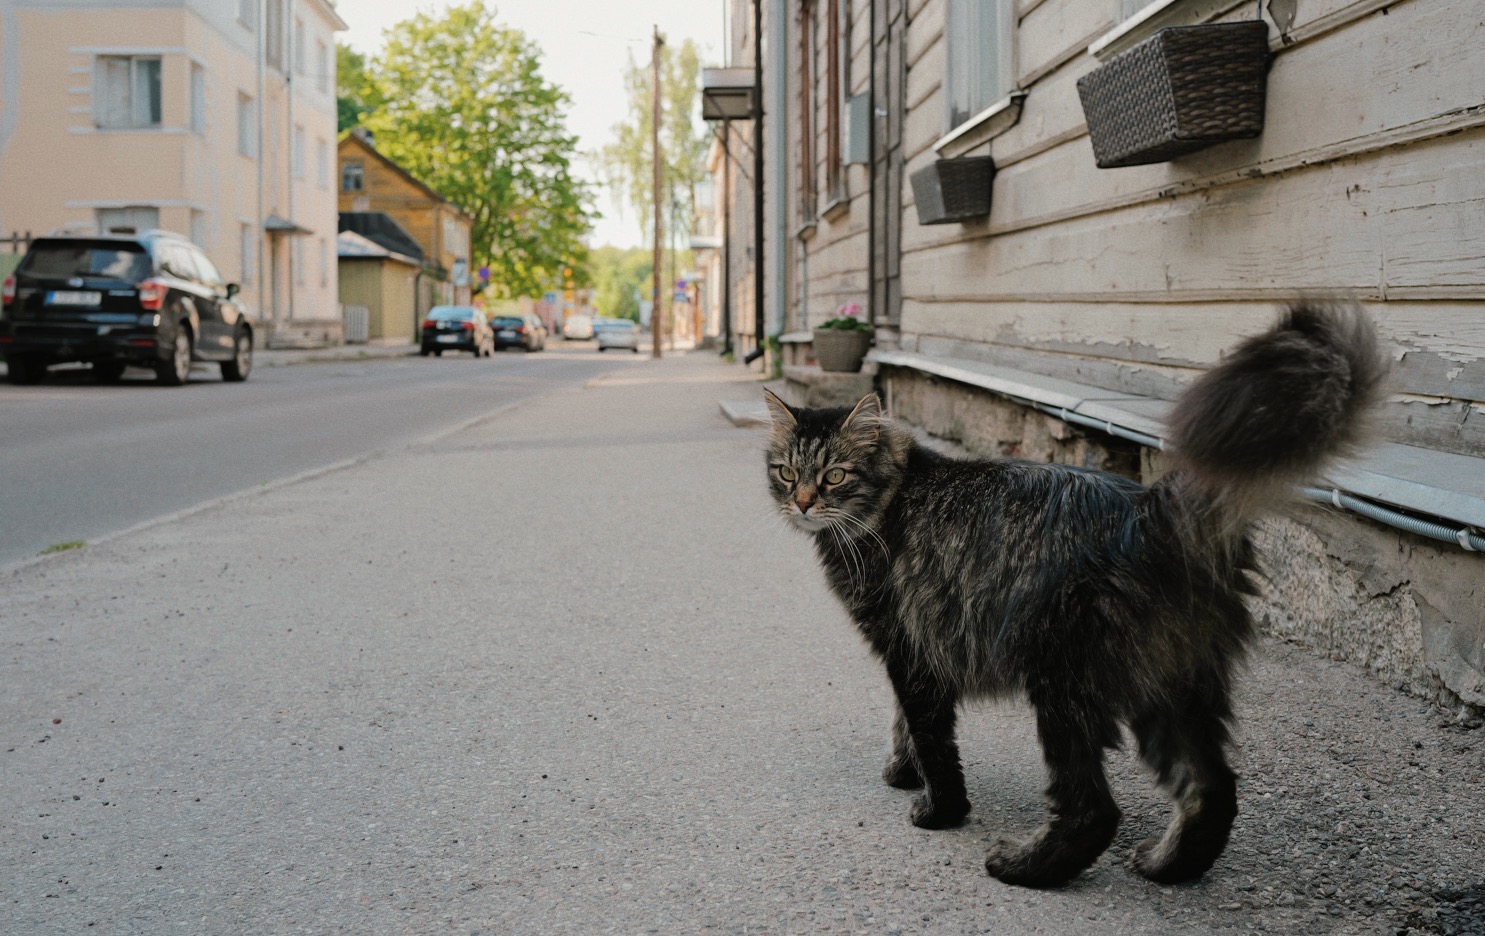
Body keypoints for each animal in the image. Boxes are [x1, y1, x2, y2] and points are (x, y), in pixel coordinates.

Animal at [772, 306, 1384, 885]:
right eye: (785, 473)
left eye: (834, 476)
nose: (801, 503)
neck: (891, 501)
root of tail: (1150, 511)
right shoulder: (915, 650)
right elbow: (904, 722)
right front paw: (903, 772)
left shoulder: (909, 647)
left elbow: (931, 737)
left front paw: (938, 809)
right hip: (1171, 688)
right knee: (1212, 791)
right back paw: (1166, 867)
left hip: (1064, 687)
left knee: (1094, 811)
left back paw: (1023, 868)